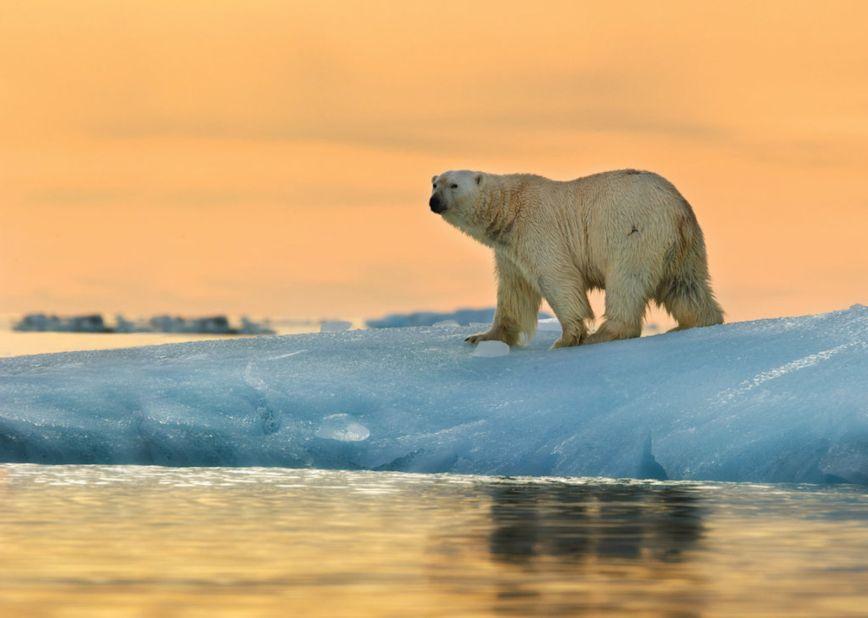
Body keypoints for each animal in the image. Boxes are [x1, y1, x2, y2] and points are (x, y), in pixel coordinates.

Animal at [429, 169, 724, 348]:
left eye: (453, 184)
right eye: (434, 184)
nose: (434, 201)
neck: (509, 209)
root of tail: (679, 210)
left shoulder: (537, 230)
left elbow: (558, 277)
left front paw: (566, 338)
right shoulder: (509, 251)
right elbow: (515, 293)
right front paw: (480, 337)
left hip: (635, 234)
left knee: (626, 282)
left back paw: (604, 333)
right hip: (683, 248)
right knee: (686, 287)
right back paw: (695, 322)